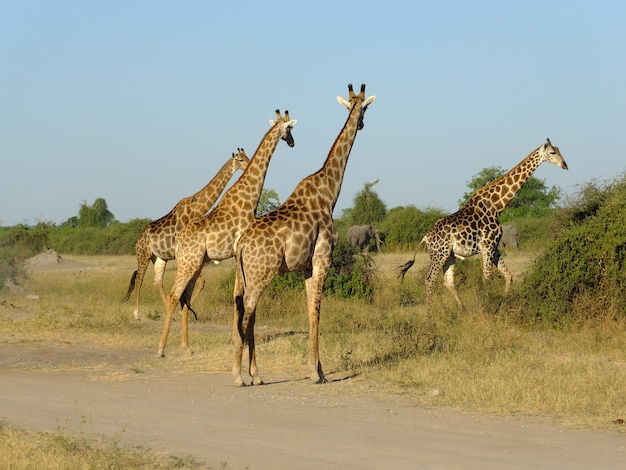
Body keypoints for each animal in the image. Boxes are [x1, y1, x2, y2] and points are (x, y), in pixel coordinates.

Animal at [122, 150, 249, 320]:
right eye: (241, 160)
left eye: (247, 157)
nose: (248, 165)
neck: (197, 208)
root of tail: (138, 239)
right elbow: (199, 282)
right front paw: (186, 311)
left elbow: (200, 283)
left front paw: (186, 311)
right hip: (143, 255)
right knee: (139, 279)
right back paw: (136, 313)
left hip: (159, 257)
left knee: (157, 282)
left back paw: (167, 311)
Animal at [155, 108, 294, 356]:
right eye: (290, 128)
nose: (292, 142)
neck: (250, 197)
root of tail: (178, 240)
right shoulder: (240, 250)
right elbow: (238, 295)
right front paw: (239, 338)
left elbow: (236, 295)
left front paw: (236, 337)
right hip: (189, 263)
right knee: (174, 295)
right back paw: (161, 349)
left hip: (196, 263)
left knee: (184, 298)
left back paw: (187, 347)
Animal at [230, 84, 372, 386]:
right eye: (364, 108)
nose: (362, 123)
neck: (330, 192)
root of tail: (242, 244)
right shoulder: (322, 257)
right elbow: (317, 312)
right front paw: (315, 374)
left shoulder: (306, 266)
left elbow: (310, 312)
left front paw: (319, 370)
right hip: (261, 274)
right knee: (246, 315)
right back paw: (239, 375)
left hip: (245, 275)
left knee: (244, 313)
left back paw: (254, 375)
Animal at [400, 139, 564, 308]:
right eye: (552, 152)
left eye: (559, 151)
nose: (565, 165)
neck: (497, 206)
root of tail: (426, 237)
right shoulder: (487, 247)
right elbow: (488, 279)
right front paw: (486, 306)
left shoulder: (494, 247)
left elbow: (508, 276)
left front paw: (502, 301)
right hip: (439, 253)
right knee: (430, 279)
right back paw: (430, 311)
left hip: (449, 255)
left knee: (448, 281)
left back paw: (462, 309)